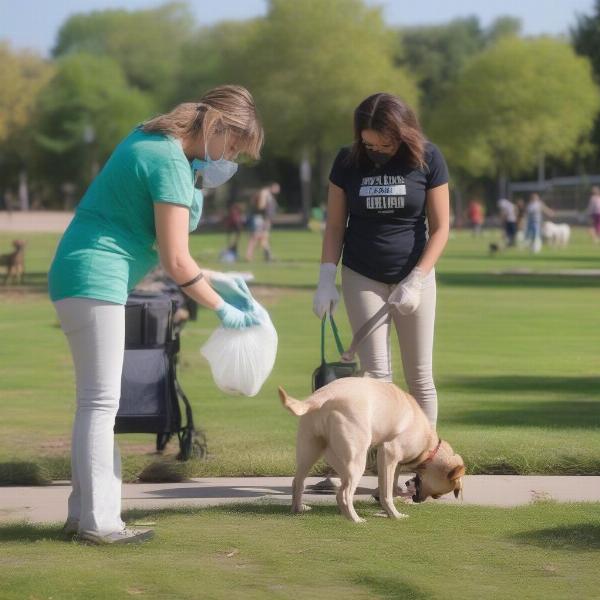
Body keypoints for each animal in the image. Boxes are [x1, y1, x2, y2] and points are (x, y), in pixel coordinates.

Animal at [278, 378, 466, 524]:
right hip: (356, 461)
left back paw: (298, 508)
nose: (419, 500)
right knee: (344, 494)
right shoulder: (388, 454)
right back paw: (355, 519)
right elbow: (387, 492)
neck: (429, 448)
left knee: (298, 482)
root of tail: (321, 397)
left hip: (311, 452)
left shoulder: (392, 463)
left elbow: (390, 486)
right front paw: (394, 514)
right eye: (438, 495)